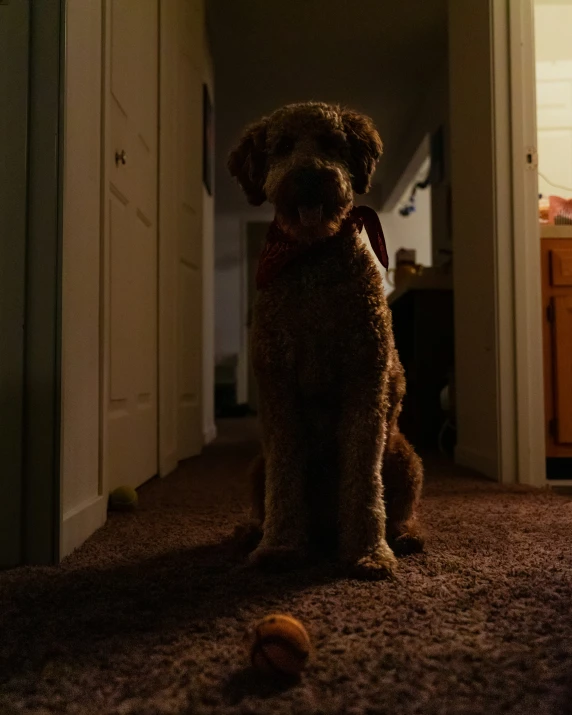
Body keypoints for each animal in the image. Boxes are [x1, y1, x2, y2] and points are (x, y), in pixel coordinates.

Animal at [227, 102, 420, 580]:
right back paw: (250, 534)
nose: (311, 176)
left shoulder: (364, 380)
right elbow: (284, 479)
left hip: (404, 457)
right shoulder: (277, 384)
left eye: (332, 143)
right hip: (256, 467)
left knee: (402, 508)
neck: (311, 254)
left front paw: (369, 552)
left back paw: (404, 536)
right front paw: (278, 547)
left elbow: (364, 480)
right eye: (281, 146)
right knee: (264, 499)